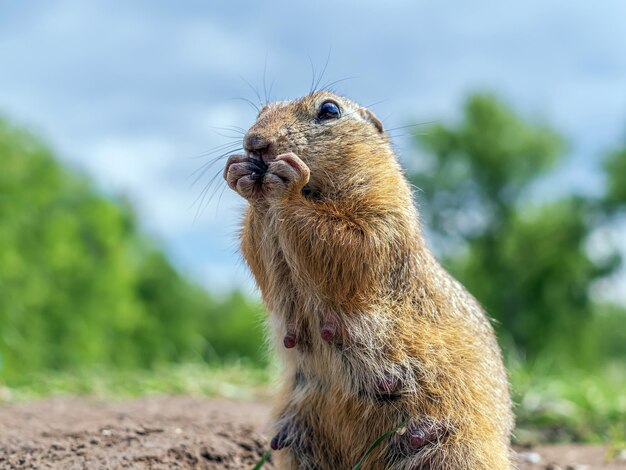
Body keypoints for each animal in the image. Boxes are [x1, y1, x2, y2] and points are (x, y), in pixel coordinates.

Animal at [224, 92, 512, 470]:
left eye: (329, 109)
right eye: (261, 111)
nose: (255, 142)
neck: (318, 190)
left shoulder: (384, 207)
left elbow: (354, 240)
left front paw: (287, 185)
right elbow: (260, 254)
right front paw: (240, 173)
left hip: (453, 447)